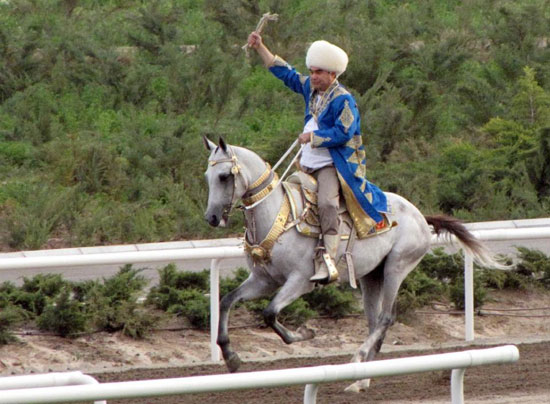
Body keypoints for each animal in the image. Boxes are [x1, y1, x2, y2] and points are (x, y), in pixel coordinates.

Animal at [204, 137, 504, 392]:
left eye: (224, 176)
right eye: (207, 176)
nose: (211, 217)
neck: (278, 215)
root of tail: (419, 215)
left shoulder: (300, 281)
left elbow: (269, 313)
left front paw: (306, 333)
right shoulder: (264, 280)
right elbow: (227, 301)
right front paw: (230, 356)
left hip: (397, 267)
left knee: (386, 318)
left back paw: (356, 359)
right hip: (372, 277)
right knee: (373, 322)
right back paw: (360, 380)